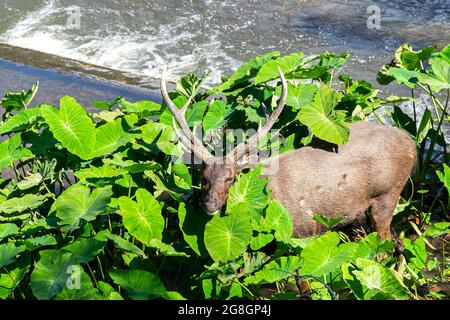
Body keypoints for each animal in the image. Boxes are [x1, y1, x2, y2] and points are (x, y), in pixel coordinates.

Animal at [160, 69, 416, 239]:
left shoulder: (302, 230)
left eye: (230, 178)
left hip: (388, 194)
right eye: (202, 177)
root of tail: (411, 142)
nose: (210, 203)